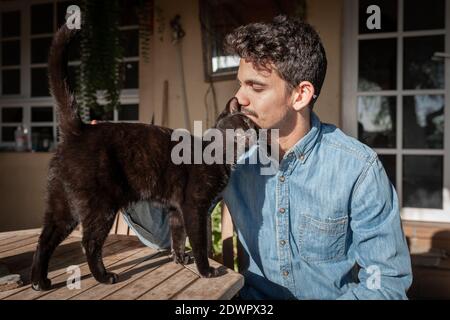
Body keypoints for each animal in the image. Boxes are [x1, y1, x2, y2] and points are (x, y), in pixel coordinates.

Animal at [29, 25, 258, 290]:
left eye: (256, 127)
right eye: (244, 123)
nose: (256, 133)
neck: (221, 155)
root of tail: (80, 129)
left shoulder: (176, 210)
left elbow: (177, 236)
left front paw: (180, 259)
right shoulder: (195, 207)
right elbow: (199, 242)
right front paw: (206, 270)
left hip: (62, 205)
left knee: (45, 239)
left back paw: (39, 282)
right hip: (100, 206)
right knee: (89, 242)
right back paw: (104, 277)